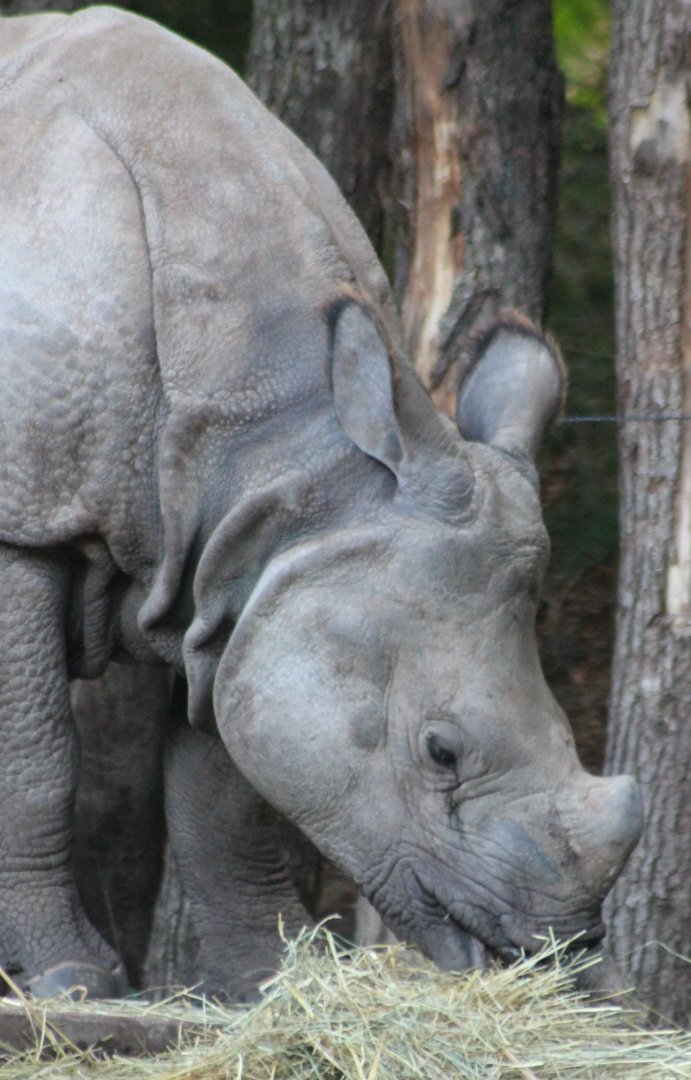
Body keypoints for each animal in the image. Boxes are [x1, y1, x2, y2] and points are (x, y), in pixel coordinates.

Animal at [0, 6, 642, 1000]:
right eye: (440, 752)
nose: (549, 949)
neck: (280, 439)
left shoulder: (251, 563)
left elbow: (224, 794)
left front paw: (266, 984)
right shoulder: (25, 517)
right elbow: (33, 761)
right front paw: (73, 982)